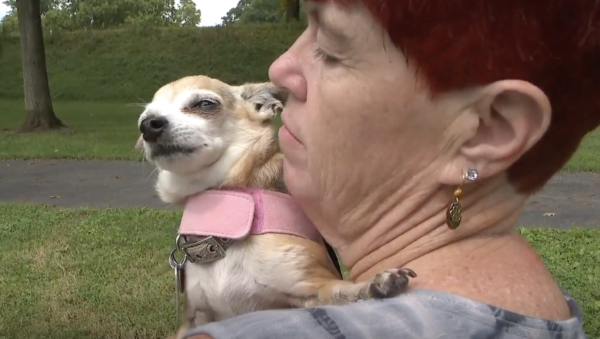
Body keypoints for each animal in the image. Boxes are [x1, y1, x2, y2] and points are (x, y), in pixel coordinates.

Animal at [136, 75, 418, 338]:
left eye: (205, 104)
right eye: (143, 118)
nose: (148, 125)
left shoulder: (314, 286)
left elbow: (342, 292)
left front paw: (374, 284)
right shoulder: (195, 320)